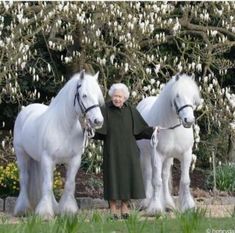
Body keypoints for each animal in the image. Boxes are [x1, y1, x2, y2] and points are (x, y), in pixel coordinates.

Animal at [13, 69, 103, 218]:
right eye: (84, 95)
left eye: (98, 96)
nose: (98, 121)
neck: (64, 127)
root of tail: (26, 109)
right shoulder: (48, 159)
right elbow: (47, 185)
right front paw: (44, 213)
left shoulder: (74, 160)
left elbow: (69, 184)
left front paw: (68, 210)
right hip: (22, 155)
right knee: (24, 179)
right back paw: (23, 209)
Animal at [137, 73, 201, 214]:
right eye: (177, 95)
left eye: (193, 96)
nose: (189, 120)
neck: (172, 128)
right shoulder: (157, 155)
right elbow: (156, 181)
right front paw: (155, 208)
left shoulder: (186, 154)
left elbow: (185, 180)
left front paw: (188, 206)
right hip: (145, 155)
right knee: (148, 175)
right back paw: (146, 202)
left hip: (168, 158)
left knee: (165, 176)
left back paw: (168, 204)